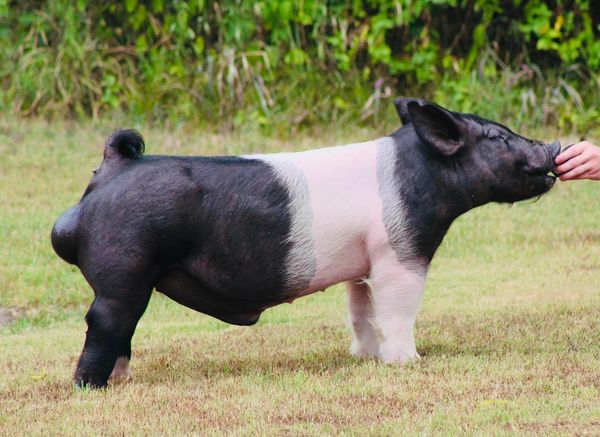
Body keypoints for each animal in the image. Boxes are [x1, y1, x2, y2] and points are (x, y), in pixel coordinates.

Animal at [52, 98, 564, 384]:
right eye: (496, 136)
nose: (554, 146)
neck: (425, 177)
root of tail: (112, 170)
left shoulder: (364, 264)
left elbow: (361, 311)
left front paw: (366, 358)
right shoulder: (400, 254)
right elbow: (398, 311)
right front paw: (408, 364)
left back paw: (121, 380)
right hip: (124, 269)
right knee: (104, 322)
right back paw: (91, 387)